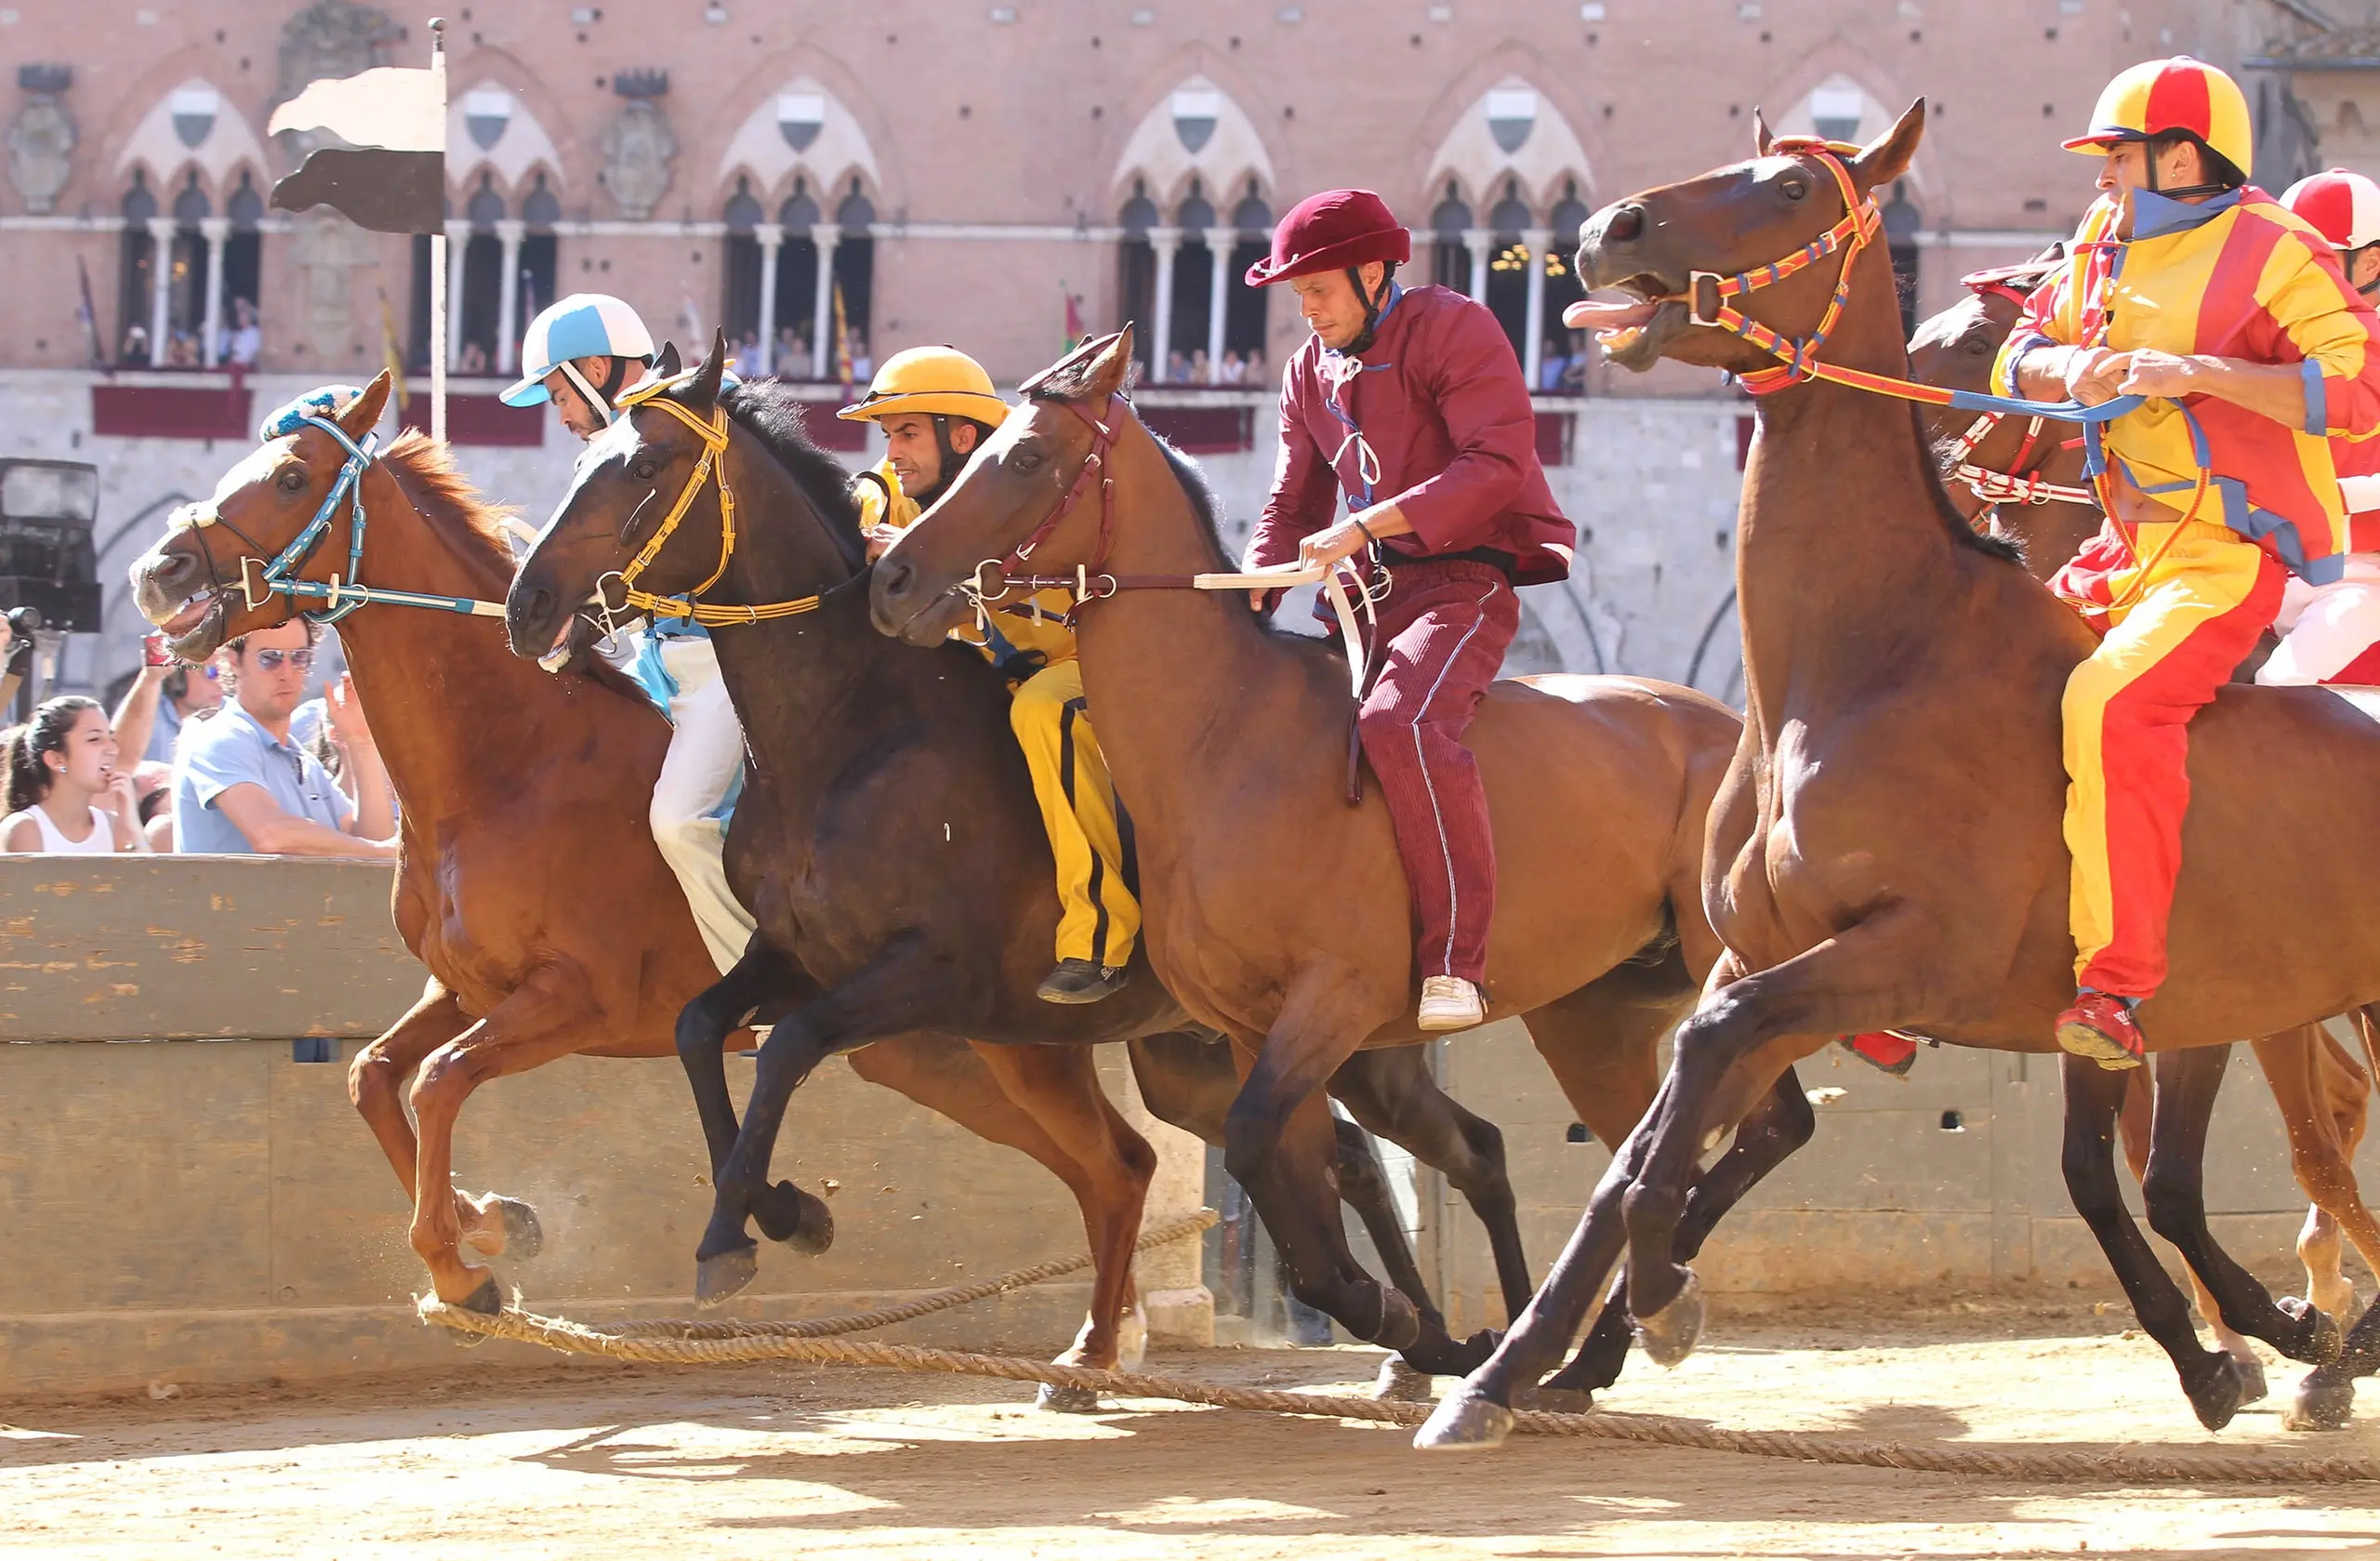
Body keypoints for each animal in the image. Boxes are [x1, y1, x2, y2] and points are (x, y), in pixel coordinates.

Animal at [492, 342, 1552, 1380]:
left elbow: (784, 1047)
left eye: (641, 466)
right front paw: (765, 1213)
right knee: (1256, 1156)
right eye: (583, 460)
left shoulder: (923, 968)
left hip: (1331, 1025)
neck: (850, 728)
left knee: (1386, 1152)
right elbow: (697, 1027)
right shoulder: (792, 952)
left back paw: (1429, 1333)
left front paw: (749, 1226)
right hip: (1187, 1053)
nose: (527, 601)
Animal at [866, 324, 1790, 1380]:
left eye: (1024, 456)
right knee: (1647, 1144)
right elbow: (1292, 1171)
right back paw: (1568, 1356)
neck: (1226, 738)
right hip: (1594, 1019)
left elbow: (1265, 1150)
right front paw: (1405, 1320)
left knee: (1762, 1125)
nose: (891, 578)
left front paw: (1392, 1313)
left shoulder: (1332, 1000)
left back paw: (1635, 1315)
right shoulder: (1247, 1024)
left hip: (1724, 971)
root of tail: (1739, 726)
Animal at [1408, 100, 2380, 1447]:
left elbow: (1703, 1072)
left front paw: (1657, 1293)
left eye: (1784, 191)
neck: (1871, 659)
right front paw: (1512, 1366)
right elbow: (1652, 1132)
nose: (1611, 226)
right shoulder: (1765, 950)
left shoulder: (1918, 950)